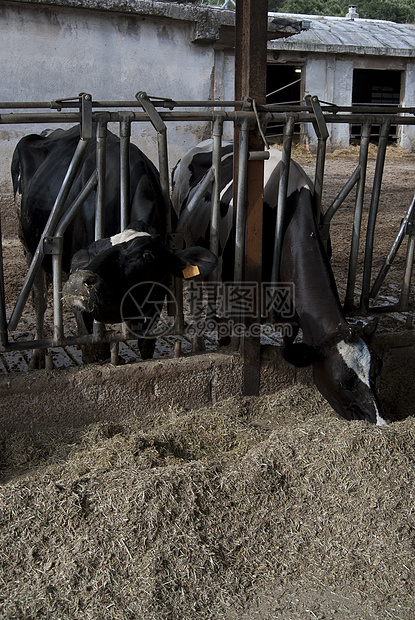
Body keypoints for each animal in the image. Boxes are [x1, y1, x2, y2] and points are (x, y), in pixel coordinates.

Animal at [11, 126, 216, 366]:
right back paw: (37, 355)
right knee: (39, 301)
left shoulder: (156, 294)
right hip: (28, 246)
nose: (78, 282)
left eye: (147, 255)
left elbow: (146, 345)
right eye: (93, 252)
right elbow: (93, 350)